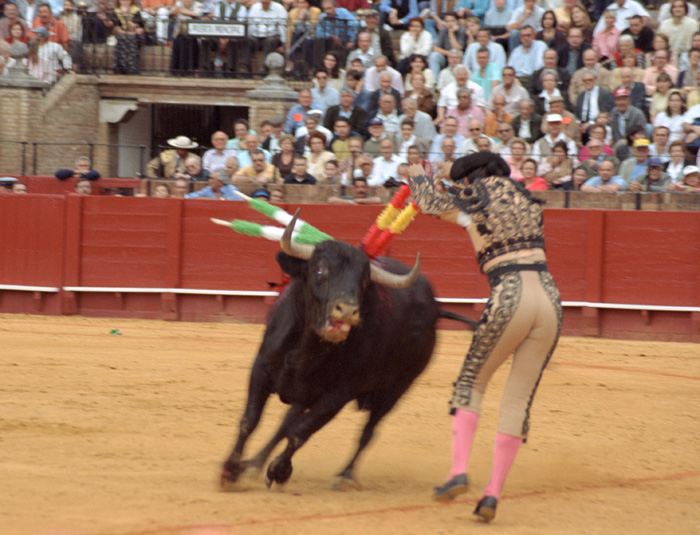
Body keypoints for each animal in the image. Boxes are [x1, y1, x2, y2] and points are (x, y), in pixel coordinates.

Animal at [219, 211, 470, 492]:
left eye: (364, 281)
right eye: (320, 270)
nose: (348, 311)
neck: (306, 348)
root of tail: (436, 308)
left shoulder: (339, 394)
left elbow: (300, 433)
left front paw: (279, 471)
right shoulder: (261, 367)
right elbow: (251, 420)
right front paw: (231, 470)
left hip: (397, 389)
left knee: (368, 431)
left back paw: (344, 476)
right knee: (286, 422)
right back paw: (254, 464)